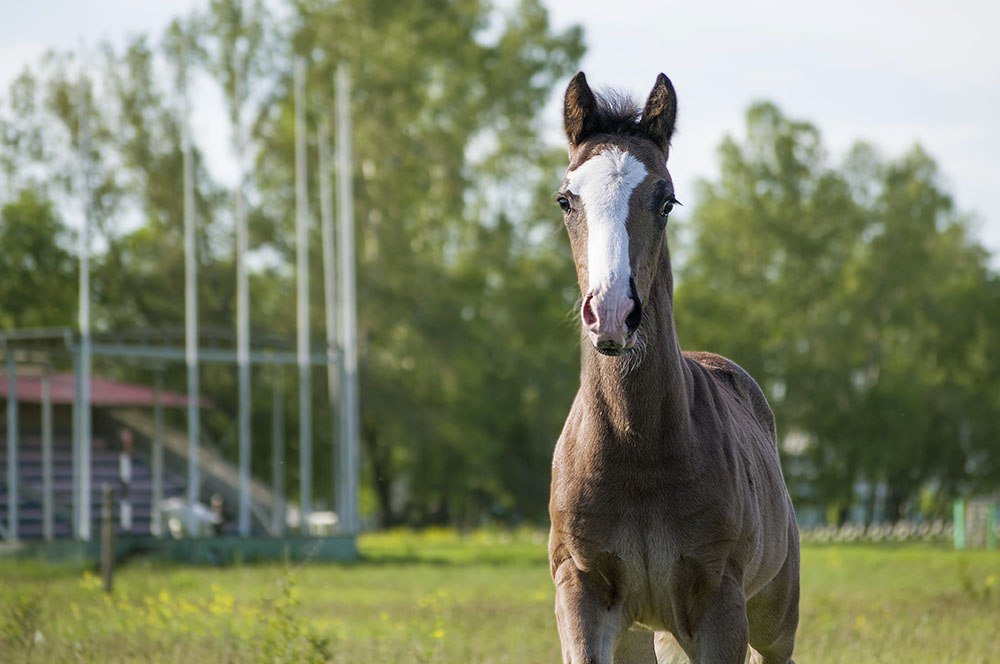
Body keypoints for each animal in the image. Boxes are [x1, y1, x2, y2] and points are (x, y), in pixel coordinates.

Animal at [548, 72, 796, 664]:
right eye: (566, 200)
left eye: (666, 201)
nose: (613, 312)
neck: (637, 446)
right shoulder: (579, 589)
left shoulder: (720, 607)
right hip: (645, 634)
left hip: (775, 619)